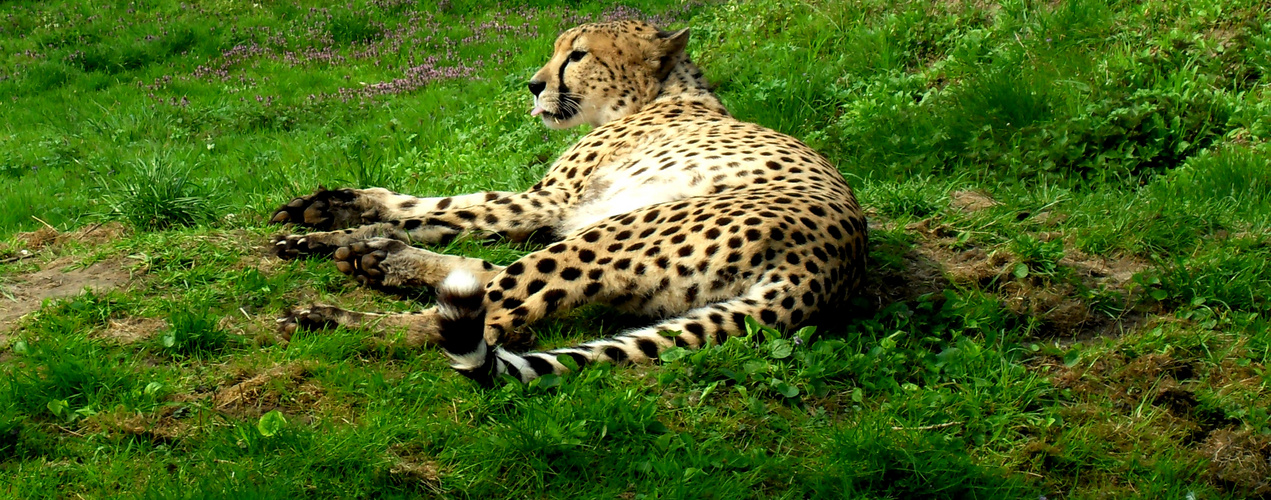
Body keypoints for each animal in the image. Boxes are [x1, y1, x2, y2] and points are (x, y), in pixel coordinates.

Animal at [266, 20, 864, 386]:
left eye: (576, 55)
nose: (533, 85)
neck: (660, 94)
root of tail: (829, 272)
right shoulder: (553, 208)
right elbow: (427, 209)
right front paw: (321, 219)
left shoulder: (547, 201)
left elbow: (446, 208)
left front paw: (337, 235)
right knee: (486, 280)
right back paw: (378, 262)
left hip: (611, 234)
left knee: (479, 318)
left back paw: (332, 319)